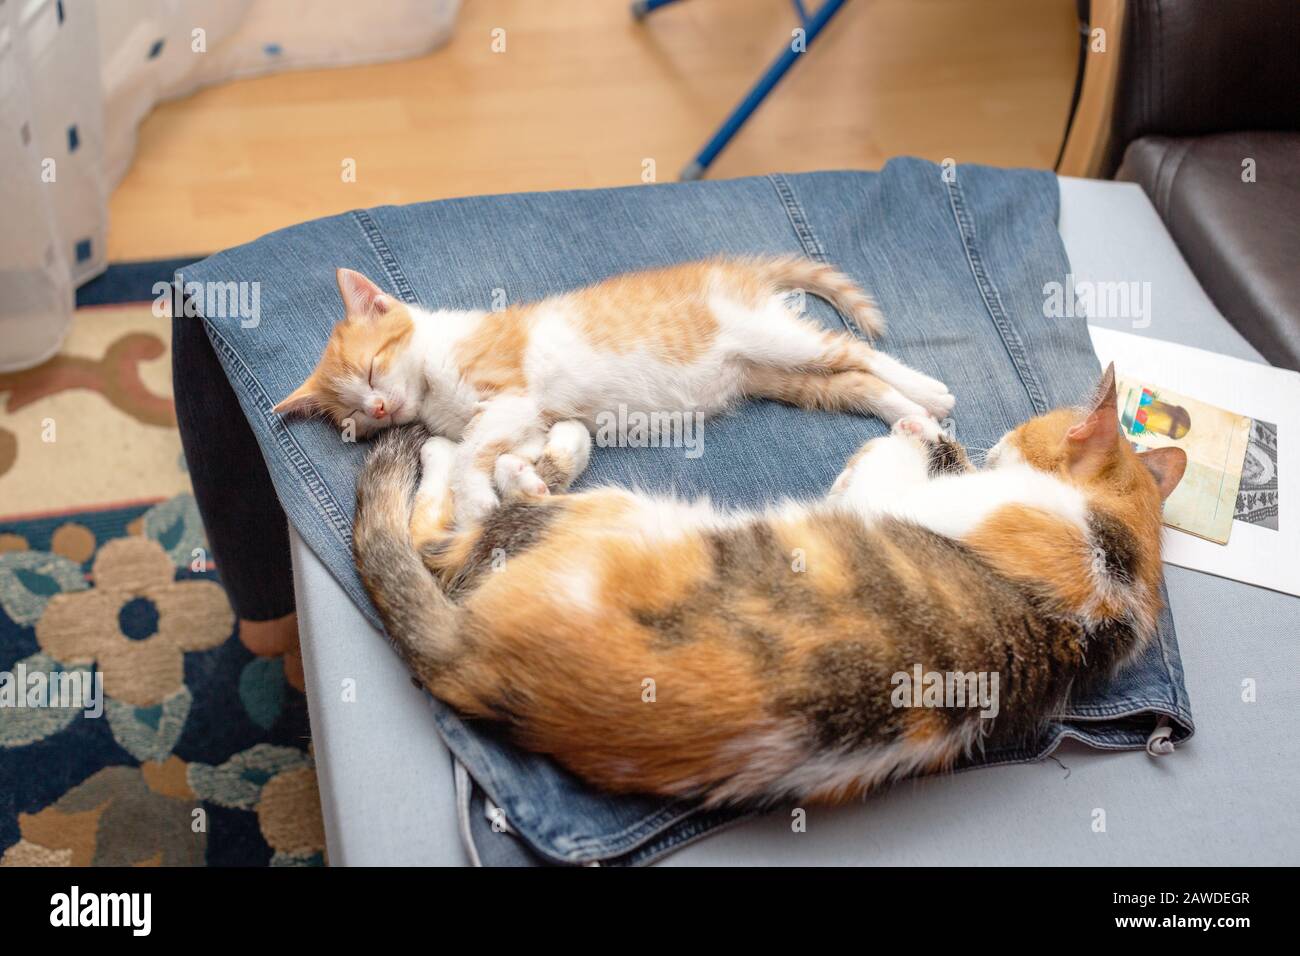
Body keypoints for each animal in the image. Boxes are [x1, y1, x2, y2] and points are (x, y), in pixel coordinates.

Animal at [276, 257, 956, 522]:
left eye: (372, 370)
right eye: (357, 419)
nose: (380, 405)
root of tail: (733, 268)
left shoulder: (510, 396)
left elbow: (471, 452)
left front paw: (476, 503)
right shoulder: (527, 422)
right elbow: (508, 452)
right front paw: (518, 483)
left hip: (772, 339)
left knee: (856, 351)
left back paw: (930, 390)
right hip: (776, 378)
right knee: (853, 382)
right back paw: (914, 419)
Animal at [351, 366, 1185, 806]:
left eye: (1021, 436)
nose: (996, 439)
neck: (1121, 568)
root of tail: (471, 659)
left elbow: (879, 469)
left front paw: (915, 430)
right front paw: (927, 428)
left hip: (594, 517)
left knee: (450, 530)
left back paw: (473, 450)